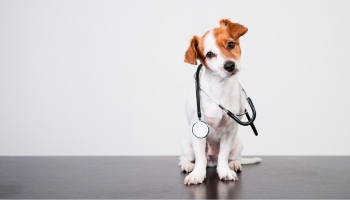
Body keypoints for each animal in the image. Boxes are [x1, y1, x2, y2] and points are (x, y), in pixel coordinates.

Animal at [180, 18, 260, 184]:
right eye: (209, 54)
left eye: (230, 44)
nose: (229, 65)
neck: (220, 88)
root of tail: (212, 161)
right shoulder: (197, 132)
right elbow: (200, 158)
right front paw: (197, 174)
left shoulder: (230, 131)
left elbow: (223, 156)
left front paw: (224, 171)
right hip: (187, 146)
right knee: (186, 158)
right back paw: (188, 165)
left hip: (237, 143)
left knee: (233, 157)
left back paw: (234, 164)